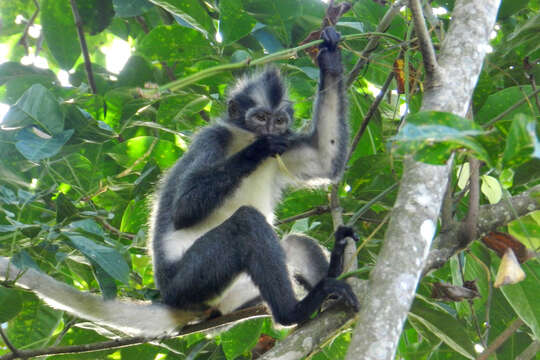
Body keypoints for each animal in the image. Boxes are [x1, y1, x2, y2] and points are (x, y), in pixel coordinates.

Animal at [150, 26, 356, 324]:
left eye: (279, 121)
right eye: (260, 118)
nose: (268, 131)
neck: (243, 138)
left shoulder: (285, 146)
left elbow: (325, 159)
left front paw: (329, 58)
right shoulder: (213, 139)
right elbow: (183, 209)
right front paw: (259, 149)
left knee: (294, 244)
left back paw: (331, 277)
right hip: (190, 281)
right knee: (247, 223)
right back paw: (294, 310)